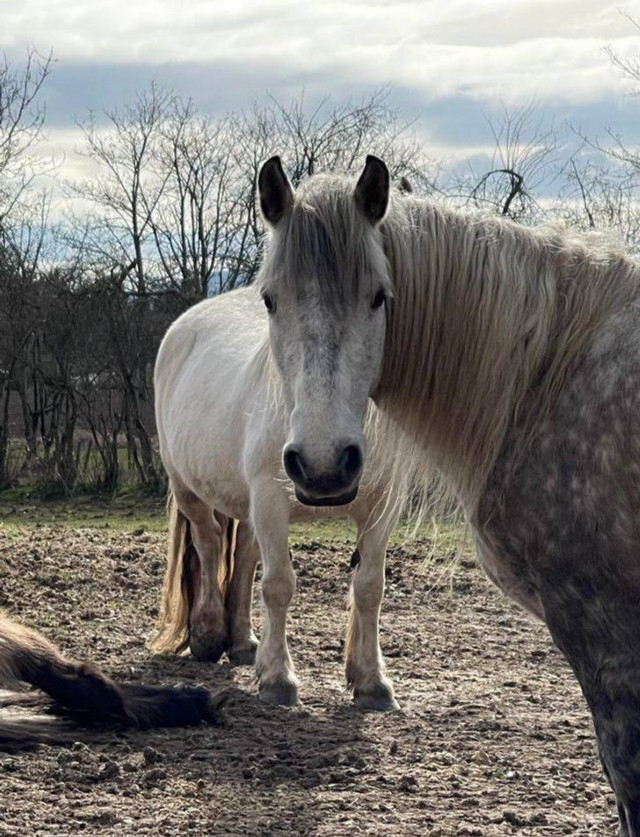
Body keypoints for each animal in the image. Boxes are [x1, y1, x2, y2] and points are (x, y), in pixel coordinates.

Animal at [152, 286, 408, 704]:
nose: (324, 466)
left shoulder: (383, 507)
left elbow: (370, 587)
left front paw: (371, 681)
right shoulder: (270, 500)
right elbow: (278, 586)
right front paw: (277, 679)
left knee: (243, 556)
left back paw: (241, 642)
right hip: (188, 489)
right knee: (208, 544)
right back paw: (208, 634)